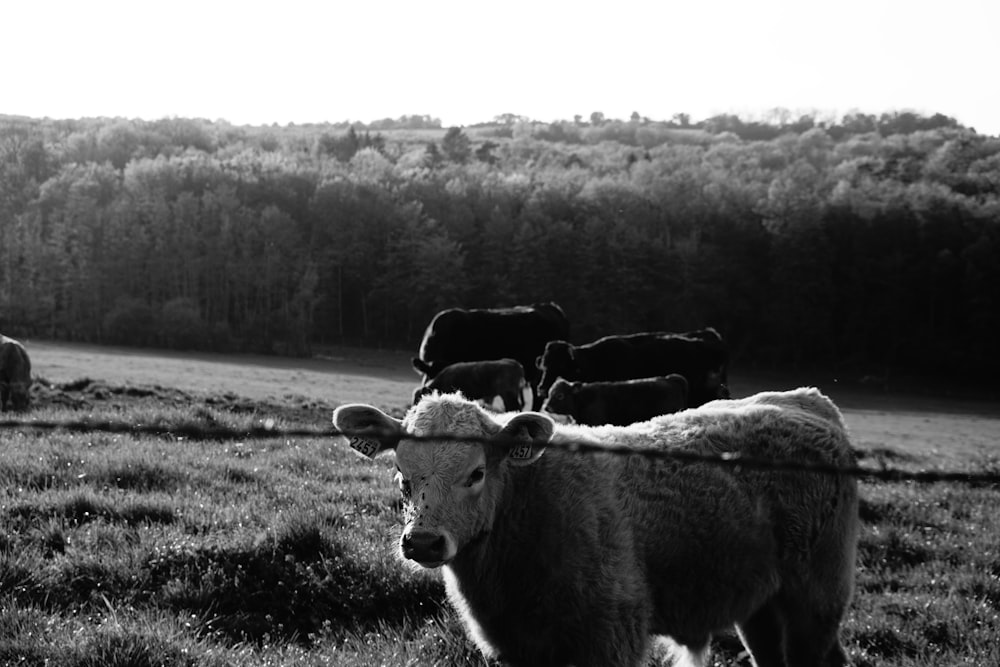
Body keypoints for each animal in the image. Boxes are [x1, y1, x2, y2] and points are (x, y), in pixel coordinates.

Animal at [334, 388, 860, 664]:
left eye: (476, 473)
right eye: (401, 472)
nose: (422, 541)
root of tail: (807, 400)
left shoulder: (610, 638)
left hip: (816, 598)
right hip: (762, 606)